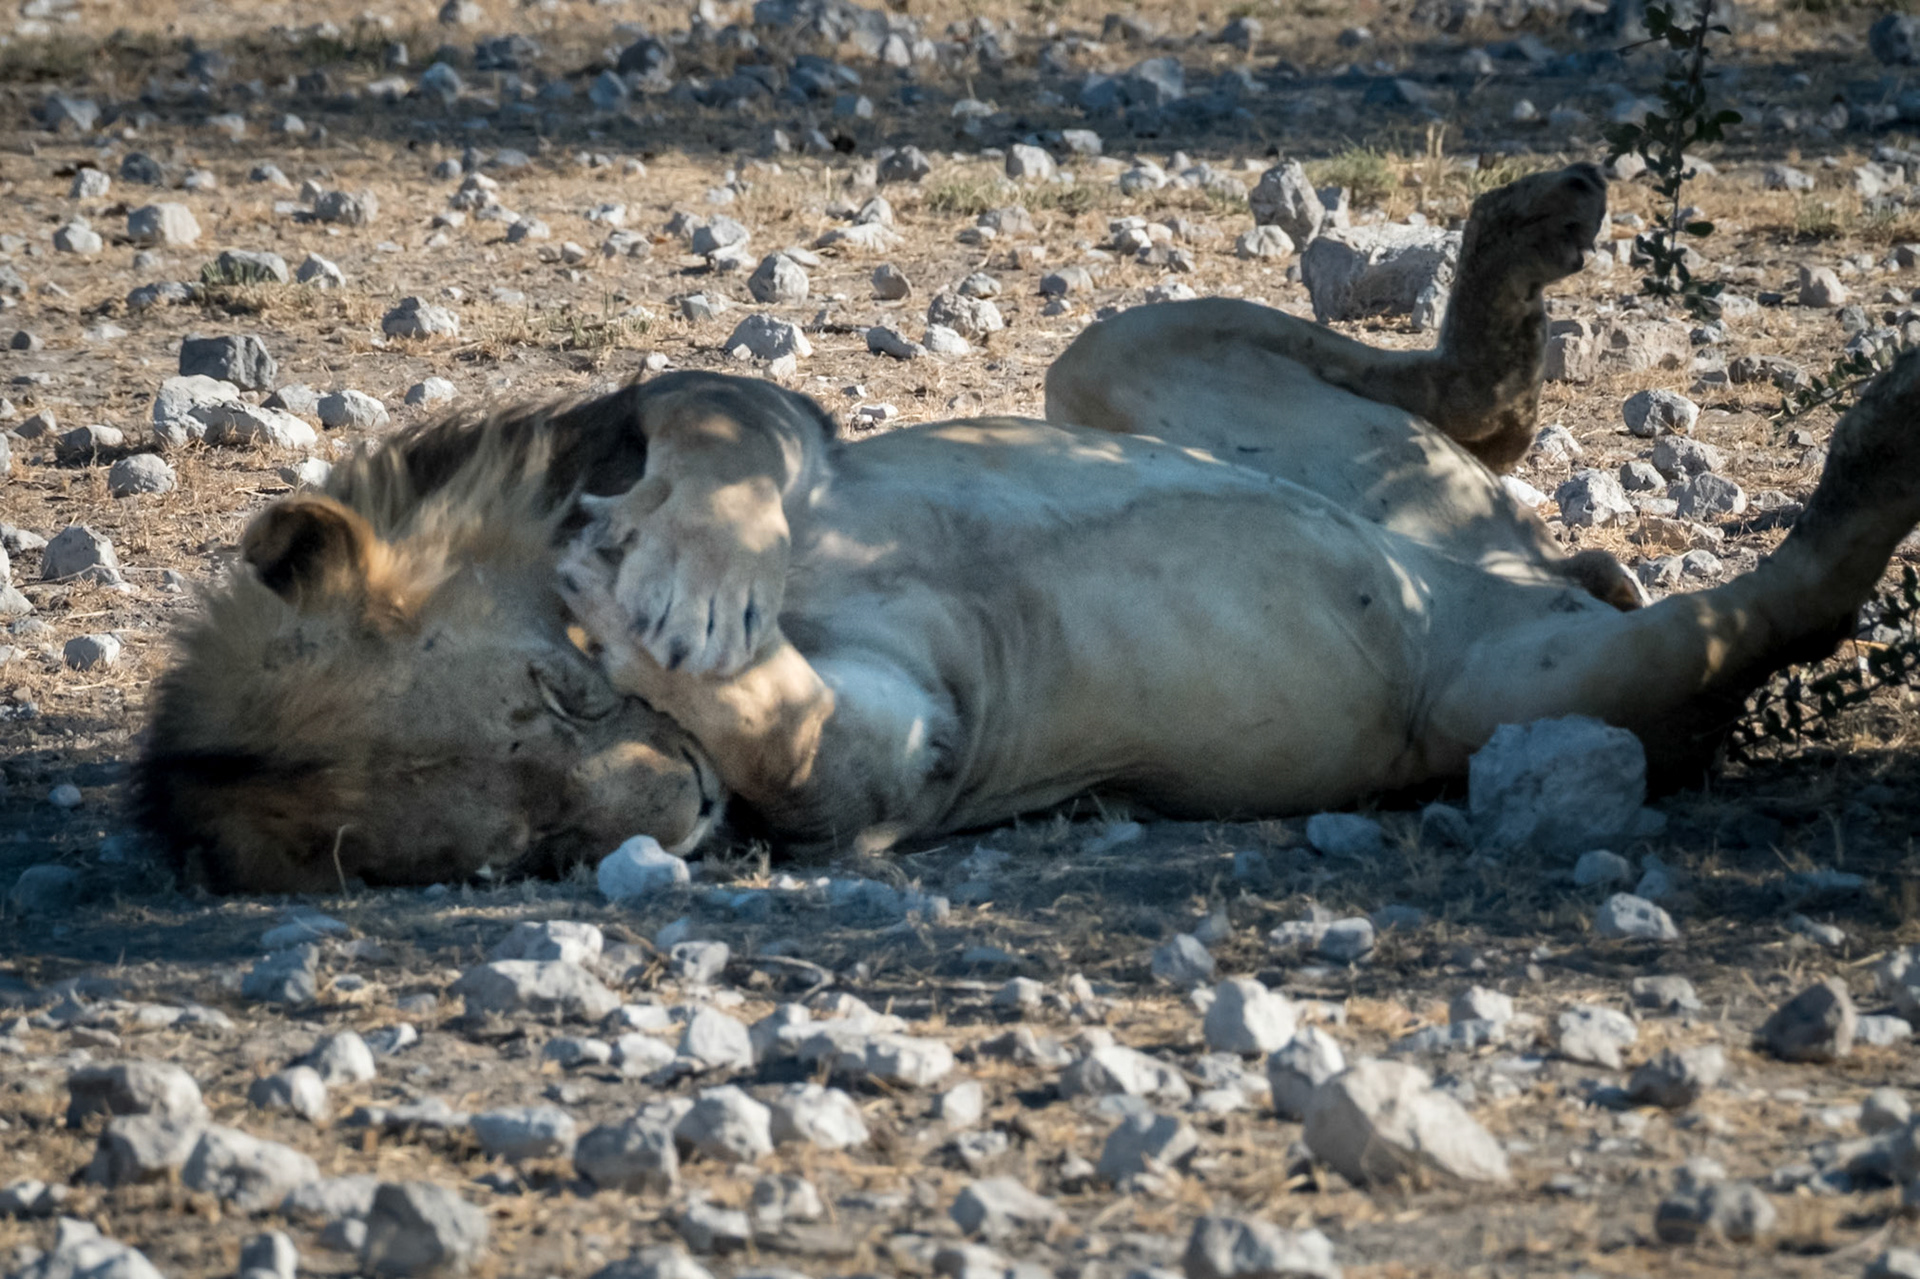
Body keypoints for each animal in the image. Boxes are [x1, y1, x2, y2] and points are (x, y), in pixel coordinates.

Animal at [141, 164, 1920, 891]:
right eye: (526, 845)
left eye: (564, 702)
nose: (688, 814)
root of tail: (1518, 562)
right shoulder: (910, 746)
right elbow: (825, 743)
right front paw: (684, 637)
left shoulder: (731, 414)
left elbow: (717, 457)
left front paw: (666, 578)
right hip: (1530, 690)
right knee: (1784, 603)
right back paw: (1882, 440)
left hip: (1108, 355)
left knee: (1477, 409)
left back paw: (1537, 238)